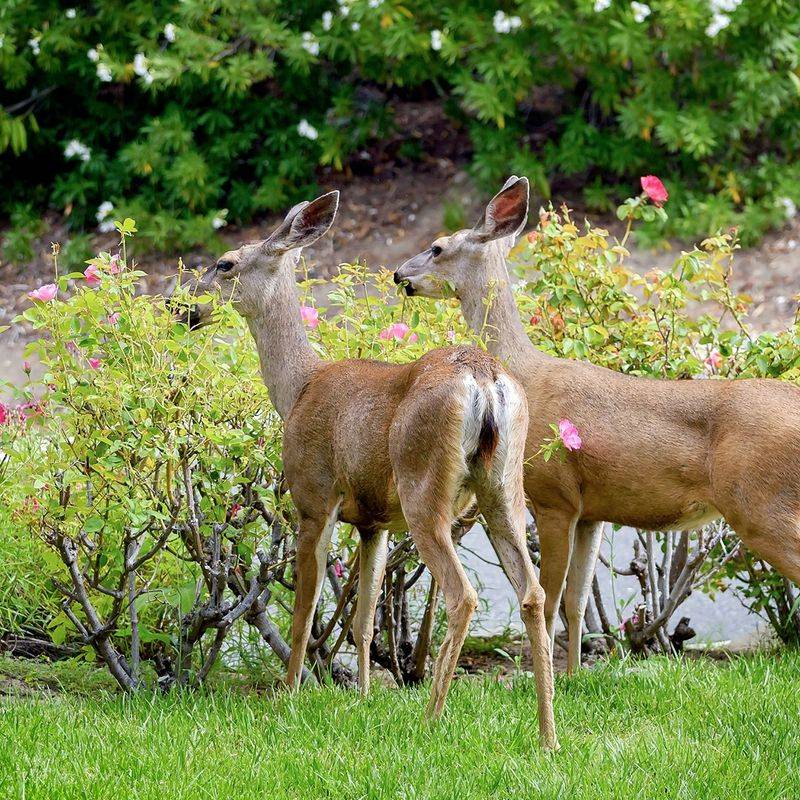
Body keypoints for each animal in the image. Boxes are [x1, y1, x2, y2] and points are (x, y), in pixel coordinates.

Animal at [183, 190, 558, 748]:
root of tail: (484, 379)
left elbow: (304, 612)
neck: (298, 388)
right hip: (504, 487)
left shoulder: (313, 497)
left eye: (225, 263)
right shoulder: (373, 522)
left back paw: (431, 720)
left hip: (425, 487)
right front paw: (360, 697)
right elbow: (362, 618)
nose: (185, 309)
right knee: (531, 592)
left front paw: (288, 695)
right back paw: (547, 735)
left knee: (462, 595)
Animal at [394, 175, 800, 673]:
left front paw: (544, 674)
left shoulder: (555, 496)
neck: (527, 374)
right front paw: (573, 676)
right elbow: (576, 601)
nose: (399, 275)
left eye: (437, 248)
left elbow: (549, 600)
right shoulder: (593, 512)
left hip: (761, 503)